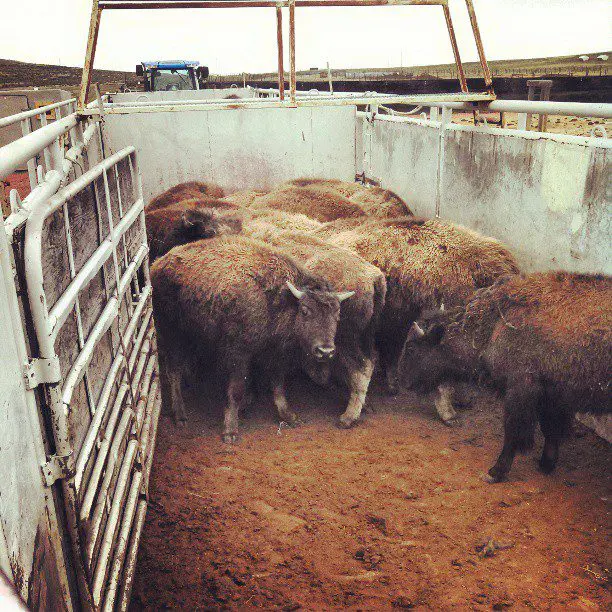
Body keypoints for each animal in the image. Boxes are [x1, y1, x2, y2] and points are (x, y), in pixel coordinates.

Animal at [151, 237, 356, 442]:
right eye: (305, 310)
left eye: (337, 314)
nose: (325, 351)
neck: (277, 298)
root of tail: (158, 264)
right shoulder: (239, 354)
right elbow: (236, 390)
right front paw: (230, 431)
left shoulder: (275, 353)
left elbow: (278, 385)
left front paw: (289, 416)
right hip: (172, 333)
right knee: (173, 370)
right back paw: (180, 416)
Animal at [241, 219, 384, 426]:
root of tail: (374, 278)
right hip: (364, 336)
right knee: (369, 361)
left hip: (344, 341)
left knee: (361, 368)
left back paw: (347, 417)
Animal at [406, 274, 612, 482]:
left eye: (411, 348)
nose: (403, 380)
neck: (494, 322)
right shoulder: (552, 396)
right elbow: (550, 430)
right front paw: (546, 464)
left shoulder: (521, 389)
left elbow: (513, 431)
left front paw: (496, 471)